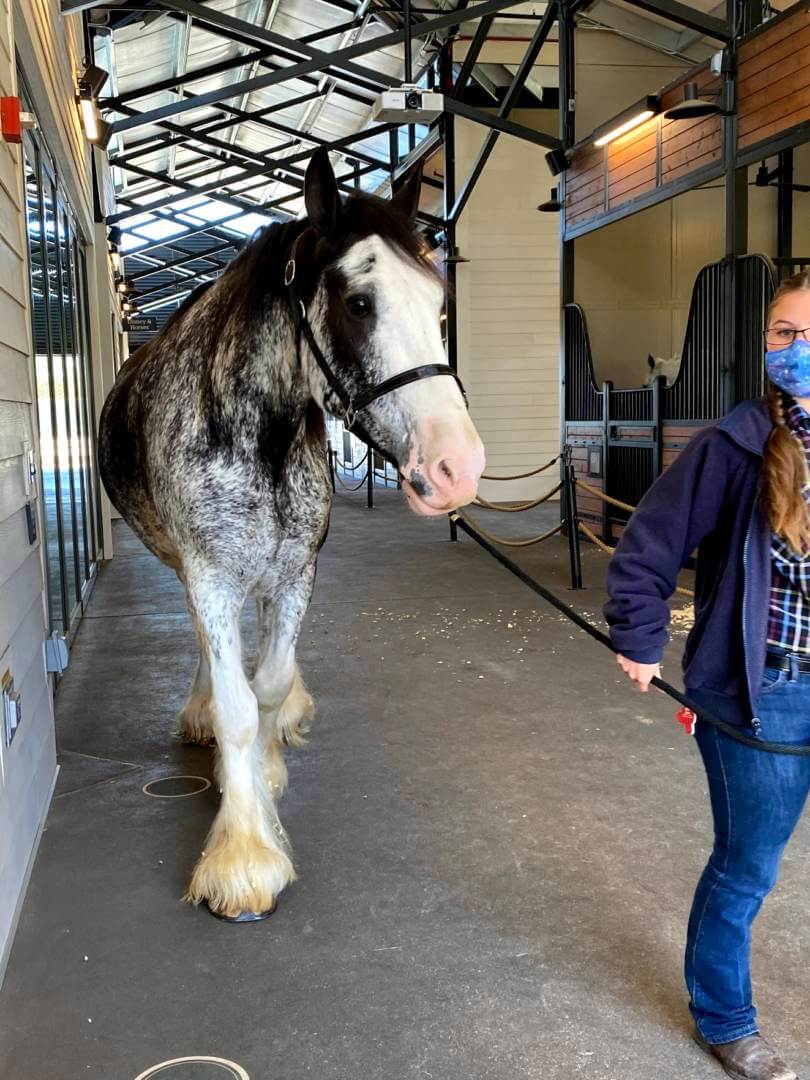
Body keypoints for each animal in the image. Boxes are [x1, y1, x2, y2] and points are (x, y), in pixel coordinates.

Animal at [98, 147, 486, 920]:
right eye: (359, 302)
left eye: (440, 304)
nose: (458, 467)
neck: (261, 437)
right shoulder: (211, 574)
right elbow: (239, 705)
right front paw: (243, 858)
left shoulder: (296, 571)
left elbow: (270, 688)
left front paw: (263, 774)